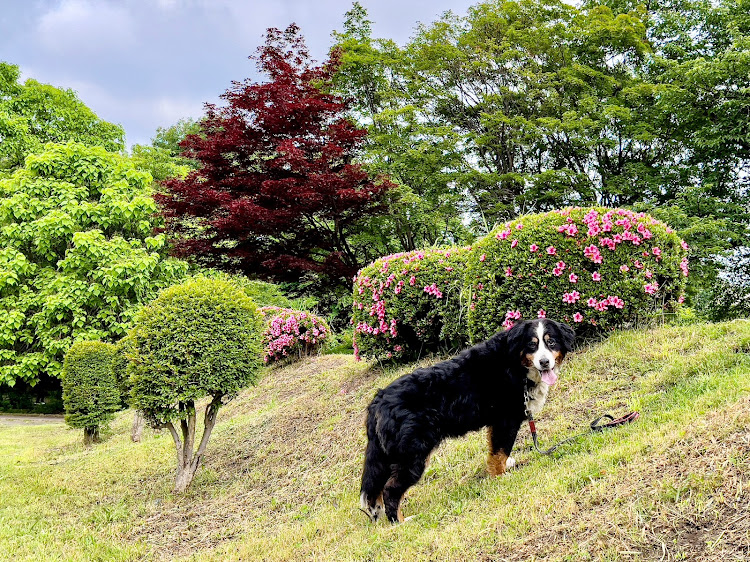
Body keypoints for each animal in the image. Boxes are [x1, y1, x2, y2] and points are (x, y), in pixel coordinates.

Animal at [362, 318, 580, 524]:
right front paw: (501, 477)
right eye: (532, 345)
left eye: (551, 342)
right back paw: (399, 521)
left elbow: (495, 453)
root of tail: (378, 400)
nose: (544, 362)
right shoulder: (506, 420)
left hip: (387, 456)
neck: (514, 364)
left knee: (376, 490)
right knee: (390, 489)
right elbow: (500, 452)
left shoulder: (497, 423)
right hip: (413, 454)